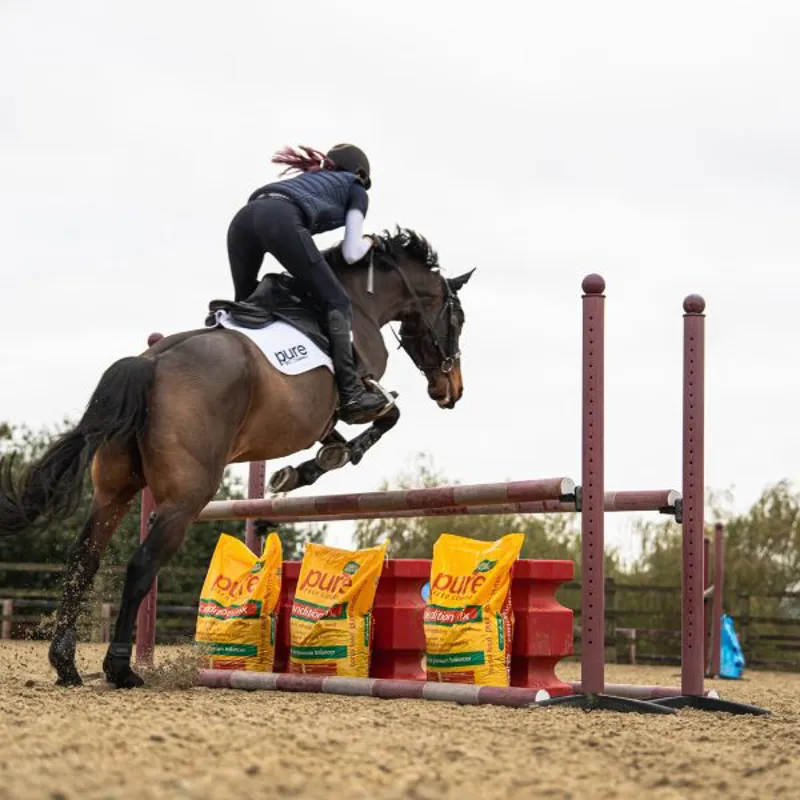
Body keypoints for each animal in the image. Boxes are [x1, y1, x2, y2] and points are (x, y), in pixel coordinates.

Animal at [0, 227, 473, 689]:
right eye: (459, 319)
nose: (451, 390)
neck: (362, 299)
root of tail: (148, 363)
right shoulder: (358, 390)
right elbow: (387, 414)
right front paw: (320, 464)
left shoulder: (316, 418)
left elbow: (337, 434)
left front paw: (307, 466)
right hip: (186, 498)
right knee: (142, 565)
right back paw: (121, 668)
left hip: (113, 490)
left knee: (84, 557)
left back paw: (66, 664)